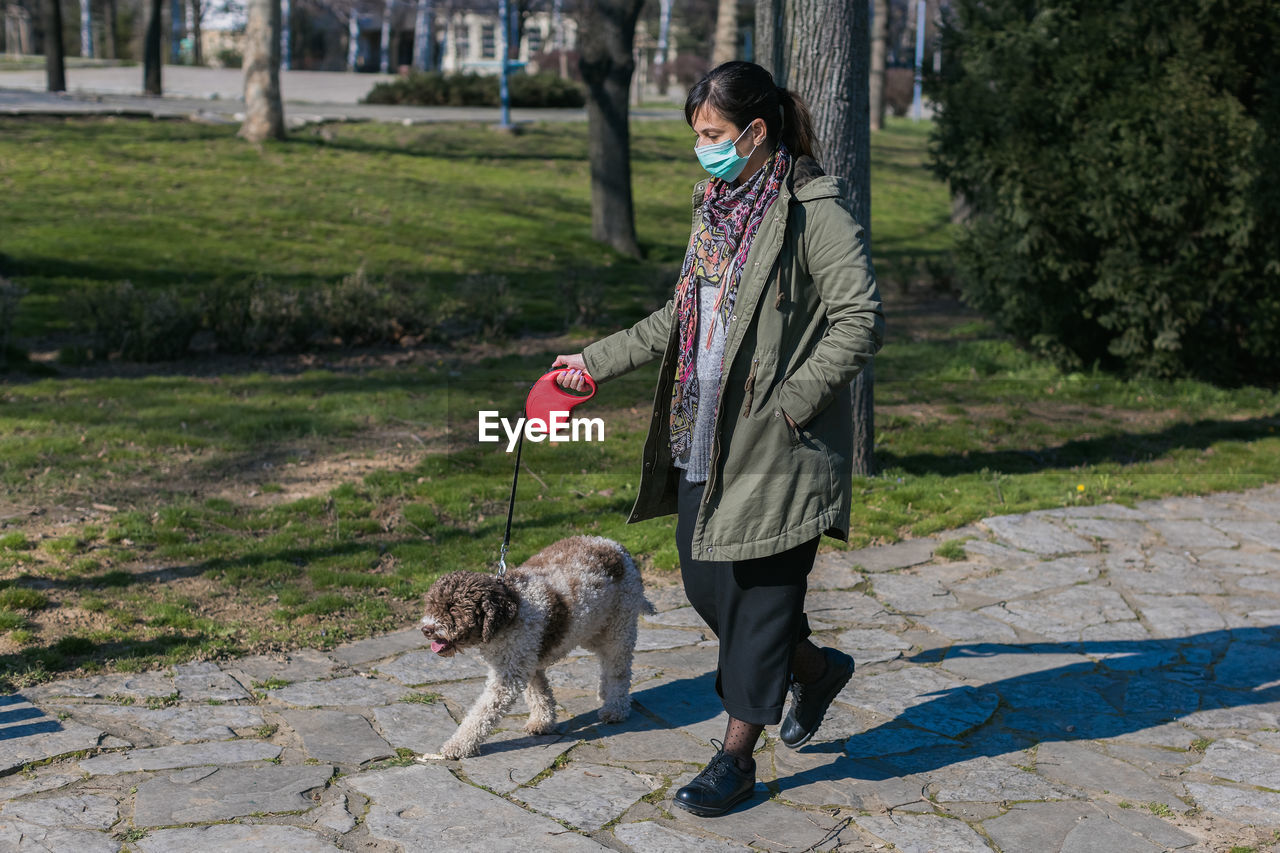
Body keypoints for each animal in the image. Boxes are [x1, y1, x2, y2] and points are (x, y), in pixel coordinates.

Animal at [419, 535, 655, 753]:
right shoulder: (527, 661)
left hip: (619, 625)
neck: (509, 614)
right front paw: (542, 721)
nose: (426, 629)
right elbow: (538, 694)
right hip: (594, 627)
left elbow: (482, 713)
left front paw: (458, 745)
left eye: (452, 608)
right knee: (605, 659)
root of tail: (617, 547)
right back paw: (605, 693)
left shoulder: (509, 675)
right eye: (431, 605)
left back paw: (615, 708)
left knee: (619, 669)